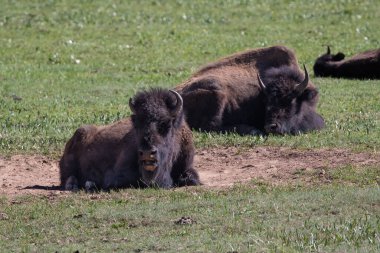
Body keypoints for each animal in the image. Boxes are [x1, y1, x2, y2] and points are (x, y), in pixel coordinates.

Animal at [174, 45, 324, 136]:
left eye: (290, 102)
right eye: (267, 103)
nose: (271, 127)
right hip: (217, 93)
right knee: (212, 126)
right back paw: (253, 130)